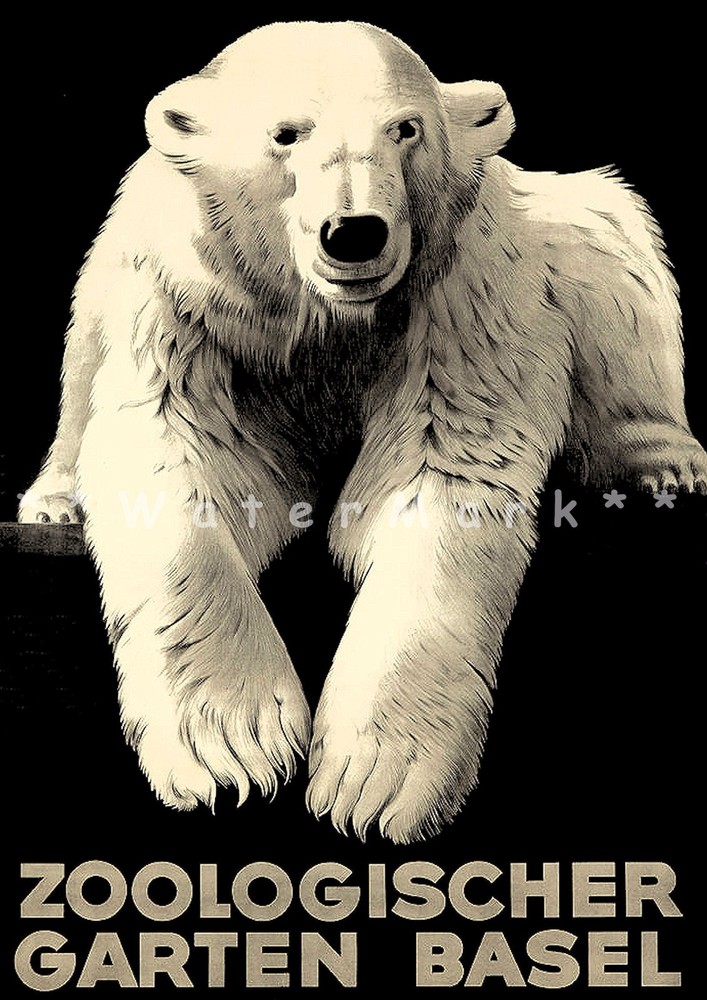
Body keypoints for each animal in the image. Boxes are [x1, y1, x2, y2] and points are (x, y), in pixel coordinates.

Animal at [19, 20, 707, 843]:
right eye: (286, 133)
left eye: (405, 129)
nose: (354, 233)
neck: (325, 323)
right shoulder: (190, 314)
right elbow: (170, 458)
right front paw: (232, 744)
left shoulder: (456, 308)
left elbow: (443, 475)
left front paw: (376, 776)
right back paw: (53, 500)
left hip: (570, 242)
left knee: (614, 250)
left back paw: (661, 467)